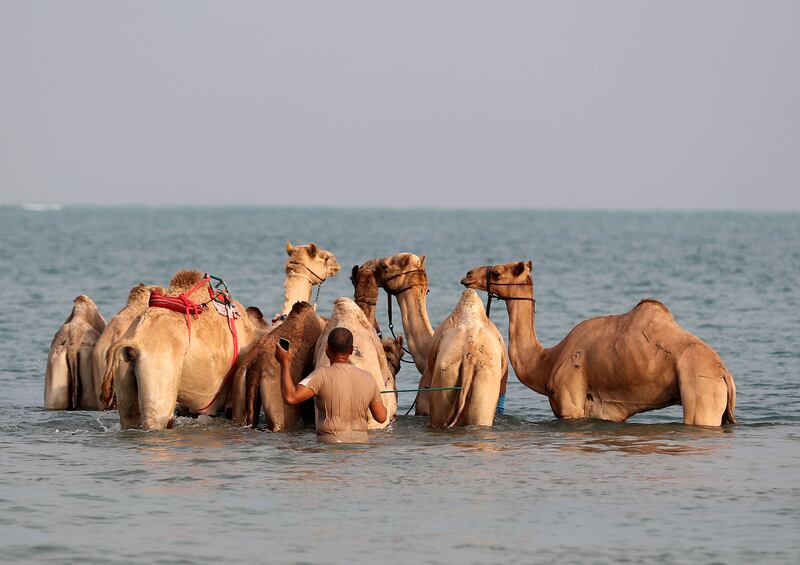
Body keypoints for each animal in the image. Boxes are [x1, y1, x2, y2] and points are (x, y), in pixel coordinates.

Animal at [460, 262, 736, 426]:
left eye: (497, 273)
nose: (468, 275)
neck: (548, 361)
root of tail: (725, 375)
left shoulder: (570, 401)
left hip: (702, 392)